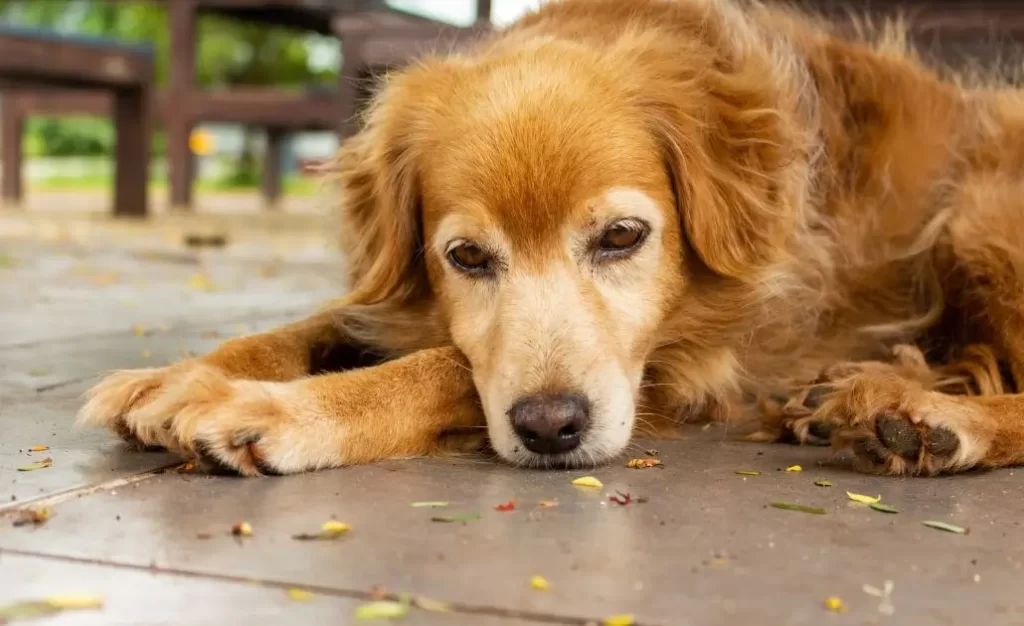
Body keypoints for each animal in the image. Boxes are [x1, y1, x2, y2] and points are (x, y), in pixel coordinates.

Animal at [77, 0, 1024, 477]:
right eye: (466, 257)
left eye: (622, 236)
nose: (549, 429)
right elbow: (319, 325)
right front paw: (179, 376)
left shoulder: (693, 364)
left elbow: (442, 368)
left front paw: (273, 411)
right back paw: (854, 395)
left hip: (977, 216)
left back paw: (935, 422)